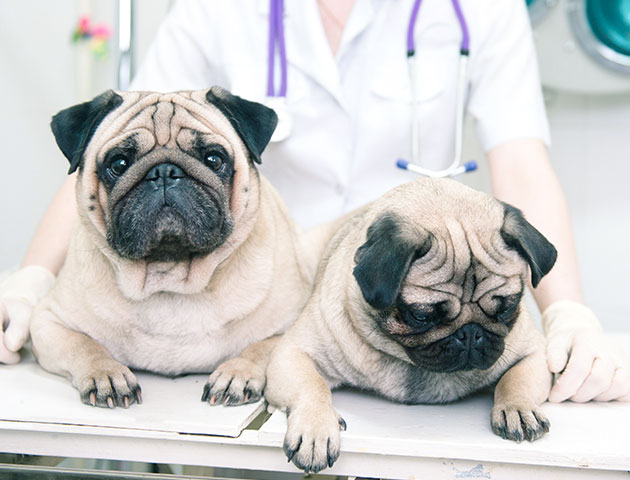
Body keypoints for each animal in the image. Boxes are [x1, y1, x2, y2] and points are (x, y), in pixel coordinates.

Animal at [29, 87, 326, 408]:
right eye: (118, 164)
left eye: (214, 159)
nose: (164, 172)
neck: (169, 276)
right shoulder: (48, 322)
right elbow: (84, 345)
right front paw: (106, 374)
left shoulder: (291, 327)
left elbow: (260, 347)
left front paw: (237, 373)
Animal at [266, 176, 556, 472]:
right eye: (421, 316)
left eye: (507, 307)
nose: (470, 333)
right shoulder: (292, 354)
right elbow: (312, 387)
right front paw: (315, 429)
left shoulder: (535, 354)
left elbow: (515, 381)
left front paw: (518, 409)